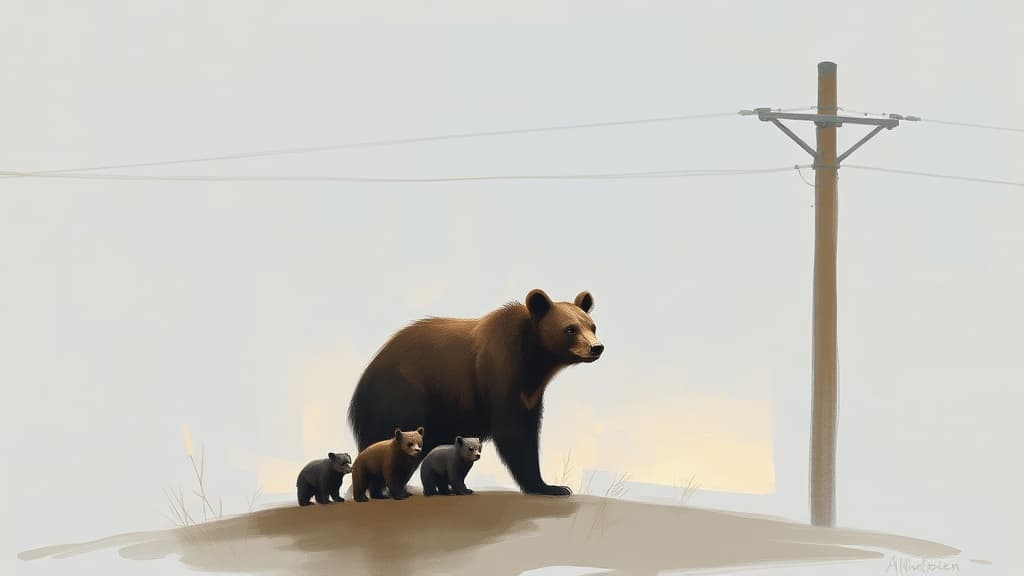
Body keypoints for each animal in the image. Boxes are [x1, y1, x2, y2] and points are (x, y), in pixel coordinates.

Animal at [347, 289, 603, 496]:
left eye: (592, 326)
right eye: (570, 328)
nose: (596, 347)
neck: (534, 361)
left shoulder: (530, 393)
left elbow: (529, 429)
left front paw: (552, 485)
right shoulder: (500, 371)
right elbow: (513, 432)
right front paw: (549, 486)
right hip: (401, 397)